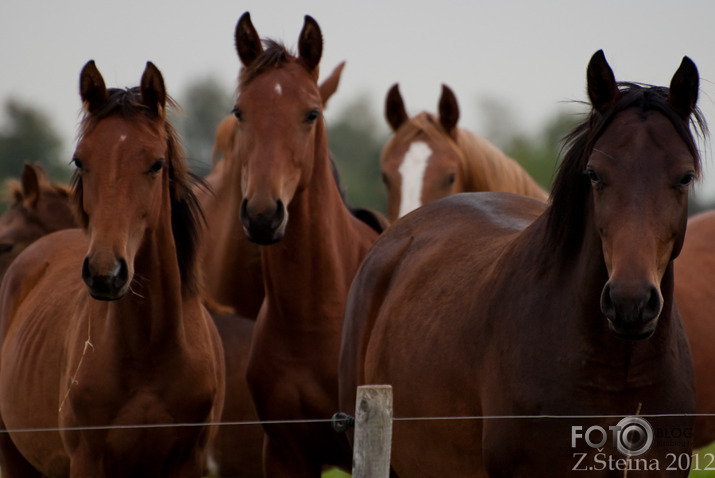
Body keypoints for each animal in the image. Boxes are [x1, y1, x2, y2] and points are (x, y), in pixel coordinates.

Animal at [0, 60, 224, 478]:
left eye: (156, 163)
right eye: (80, 160)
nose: (106, 273)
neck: (150, 349)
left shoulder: (189, 462)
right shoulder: (87, 461)